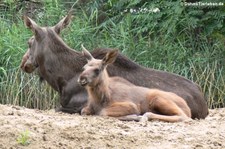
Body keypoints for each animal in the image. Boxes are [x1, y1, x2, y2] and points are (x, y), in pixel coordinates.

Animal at [20, 13, 208, 119]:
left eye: (29, 42)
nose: (23, 63)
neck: (60, 81)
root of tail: (204, 103)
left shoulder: (78, 104)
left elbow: (58, 108)